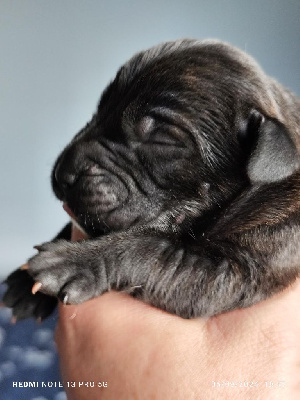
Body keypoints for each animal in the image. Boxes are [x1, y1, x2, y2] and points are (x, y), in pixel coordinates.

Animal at [2, 39, 300, 318]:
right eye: (98, 110)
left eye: (161, 139)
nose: (62, 174)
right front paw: (23, 285)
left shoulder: (239, 269)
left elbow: (152, 249)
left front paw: (73, 262)